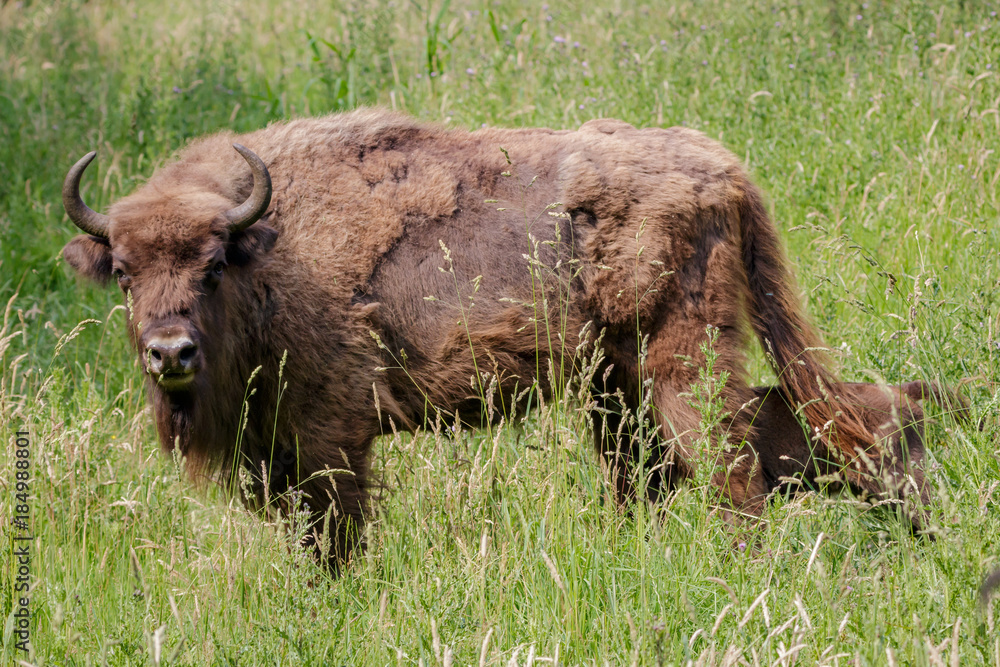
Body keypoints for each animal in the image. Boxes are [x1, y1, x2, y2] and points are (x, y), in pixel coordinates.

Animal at [62, 109, 946, 567]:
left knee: (737, 465)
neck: (272, 252)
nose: (170, 354)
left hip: (677, 367)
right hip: (618, 384)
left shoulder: (330, 440)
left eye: (212, 265)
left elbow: (335, 533)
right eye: (126, 273)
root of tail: (723, 168)